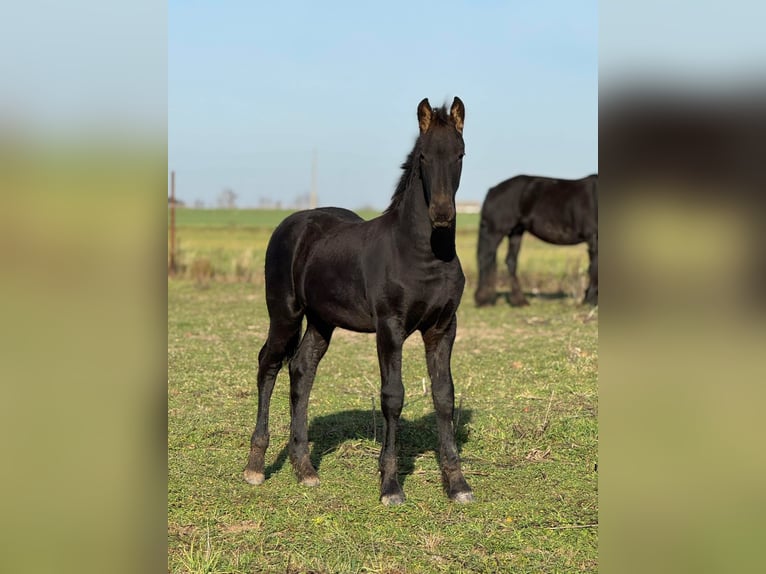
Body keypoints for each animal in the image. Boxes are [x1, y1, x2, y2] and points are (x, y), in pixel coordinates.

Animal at [244, 97, 474, 506]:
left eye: (460, 154)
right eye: (423, 156)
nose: (442, 214)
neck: (422, 254)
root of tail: (292, 224)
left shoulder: (443, 327)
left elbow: (444, 396)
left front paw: (457, 484)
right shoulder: (390, 328)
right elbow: (393, 396)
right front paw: (390, 485)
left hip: (322, 321)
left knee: (301, 369)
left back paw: (305, 468)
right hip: (285, 313)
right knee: (268, 364)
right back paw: (256, 466)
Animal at [474, 174, 598, 307]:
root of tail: (492, 190)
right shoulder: (593, 238)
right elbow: (594, 268)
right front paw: (591, 300)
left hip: (516, 232)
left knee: (510, 261)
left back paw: (518, 301)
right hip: (495, 231)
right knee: (485, 258)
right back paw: (484, 300)